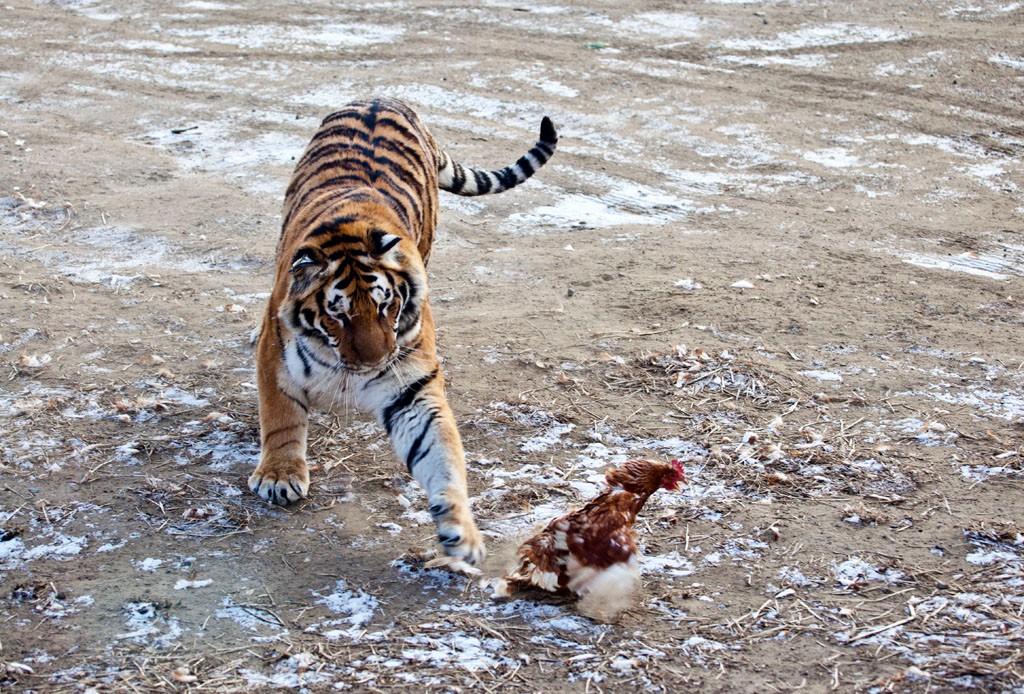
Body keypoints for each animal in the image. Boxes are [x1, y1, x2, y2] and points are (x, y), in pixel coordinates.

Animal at [249, 96, 561, 565]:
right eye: (337, 315)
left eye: (386, 306)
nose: (375, 362)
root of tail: (384, 97)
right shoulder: (276, 357)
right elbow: (281, 418)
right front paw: (279, 476)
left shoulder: (410, 386)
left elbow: (439, 452)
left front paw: (460, 530)